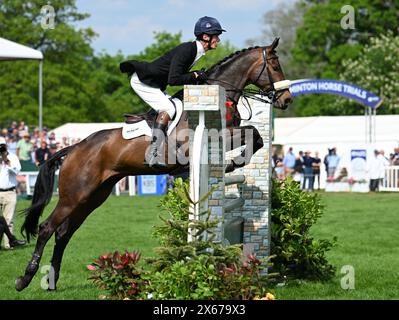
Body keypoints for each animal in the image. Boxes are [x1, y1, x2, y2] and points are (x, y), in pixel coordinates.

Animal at [15, 37, 292, 290]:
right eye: (275, 64)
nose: (287, 100)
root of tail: (75, 148)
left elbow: (255, 136)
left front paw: (232, 163)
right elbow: (252, 134)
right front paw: (231, 164)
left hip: (93, 196)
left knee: (63, 233)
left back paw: (52, 281)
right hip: (73, 195)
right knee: (46, 228)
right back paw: (25, 278)